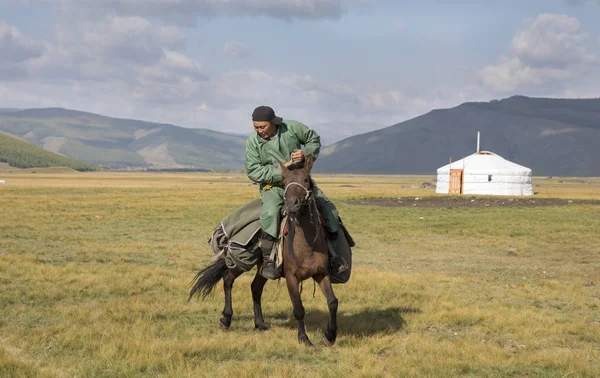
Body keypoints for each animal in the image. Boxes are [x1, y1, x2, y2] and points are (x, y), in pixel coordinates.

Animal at [188, 155, 338, 346]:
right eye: (285, 181)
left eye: (306, 179)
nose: (292, 204)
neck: (307, 244)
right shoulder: (291, 277)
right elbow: (298, 308)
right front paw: (303, 338)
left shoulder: (321, 273)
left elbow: (332, 302)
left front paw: (329, 336)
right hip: (242, 261)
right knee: (228, 279)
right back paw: (226, 320)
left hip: (262, 267)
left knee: (255, 288)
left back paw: (259, 323)